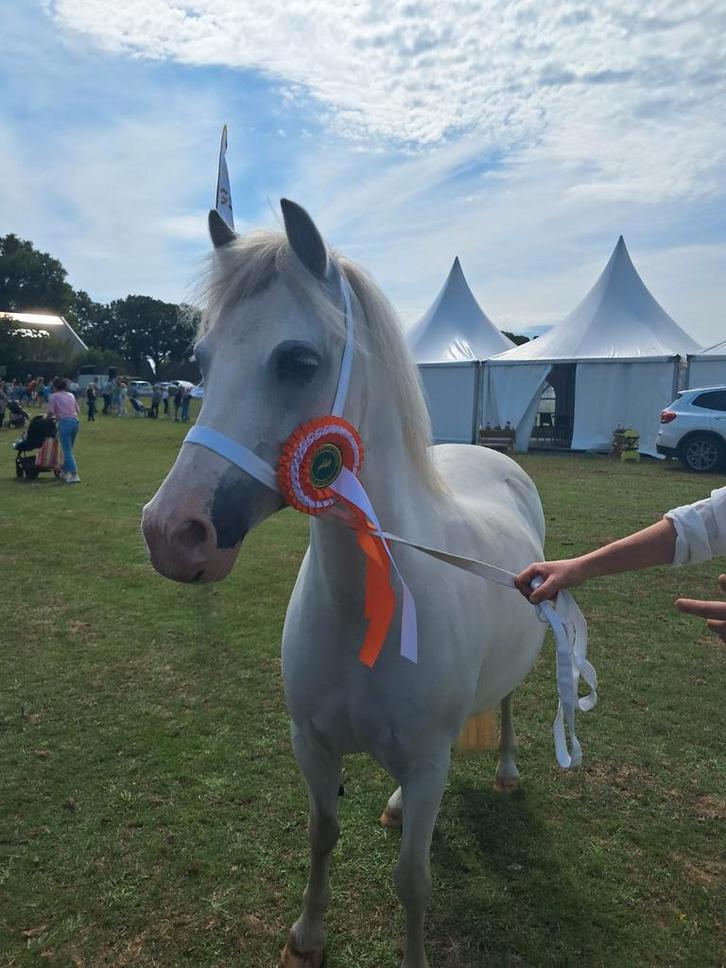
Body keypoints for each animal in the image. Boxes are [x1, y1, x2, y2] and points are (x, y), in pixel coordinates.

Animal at [142, 200, 549, 968]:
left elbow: (413, 881)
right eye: (203, 361)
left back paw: (508, 771)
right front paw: (307, 935)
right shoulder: (313, 743)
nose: (171, 533)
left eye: (298, 360)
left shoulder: (429, 762)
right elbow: (321, 835)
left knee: (508, 705)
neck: (365, 605)